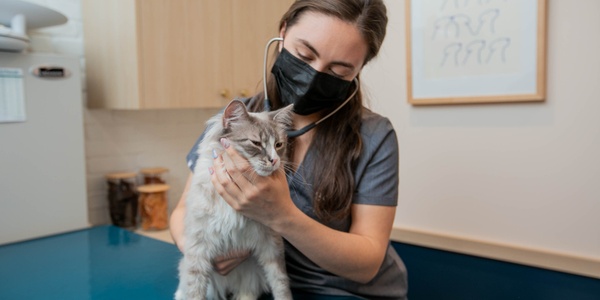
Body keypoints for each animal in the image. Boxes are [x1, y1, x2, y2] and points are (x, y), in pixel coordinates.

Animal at [175, 100, 294, 300]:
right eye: (256, 143)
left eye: (278, 144)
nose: (274, 160)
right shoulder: (198, 248)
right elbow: (194, 290)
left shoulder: (271, 244)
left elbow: (281, 283)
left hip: (252, 274)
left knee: (247, 292)